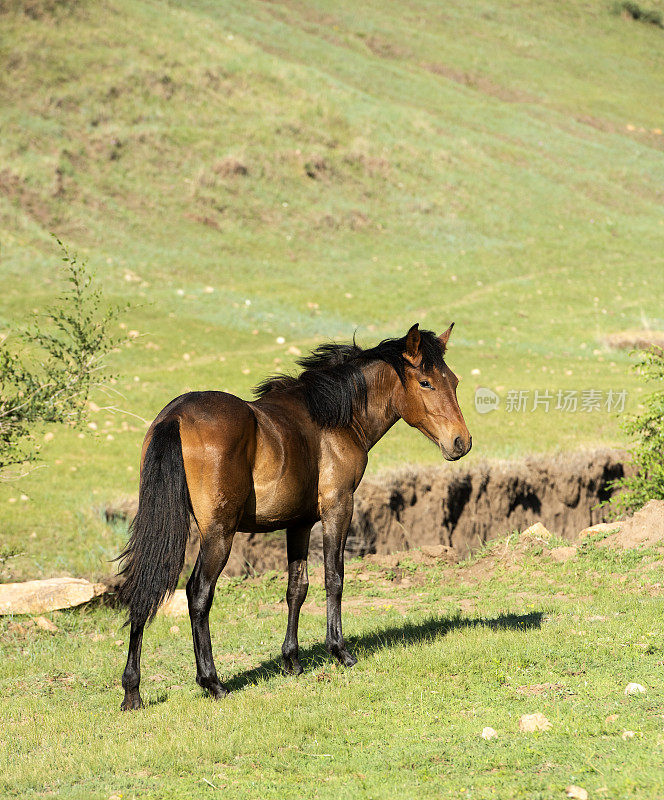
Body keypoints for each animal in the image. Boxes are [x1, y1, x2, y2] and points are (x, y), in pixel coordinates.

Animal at [118, 322, 472, 708]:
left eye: (454, 381)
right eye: (426, 382)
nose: (461, 442)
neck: (332, 420)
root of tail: (175, 416)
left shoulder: (298, 524)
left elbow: (296, 588)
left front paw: (291, 660)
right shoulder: (338, 508)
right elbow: (334, 577)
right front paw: (340, 651)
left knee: (144, 586)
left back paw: (132, 690)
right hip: (219, 534)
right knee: (198, 594)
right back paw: (213, 682)